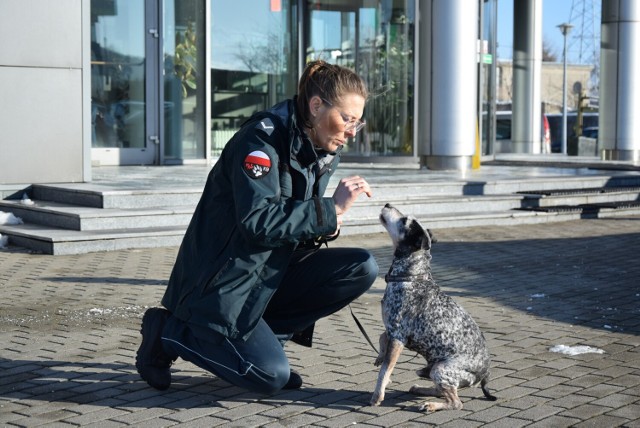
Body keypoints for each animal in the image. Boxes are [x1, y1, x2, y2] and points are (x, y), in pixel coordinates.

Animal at [370, 204, 496, 412]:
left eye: (404, 220)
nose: (387, 204)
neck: (411, 276)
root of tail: (485, 374)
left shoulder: (398, 336)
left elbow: (385, 370)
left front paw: (377, 395)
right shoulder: (393, 330)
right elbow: (382, 338)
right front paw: (380, 355)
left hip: (440, 369)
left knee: (455, 402)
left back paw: (431, 405)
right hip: (433, 370)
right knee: (441, 390)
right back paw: (420, 389)